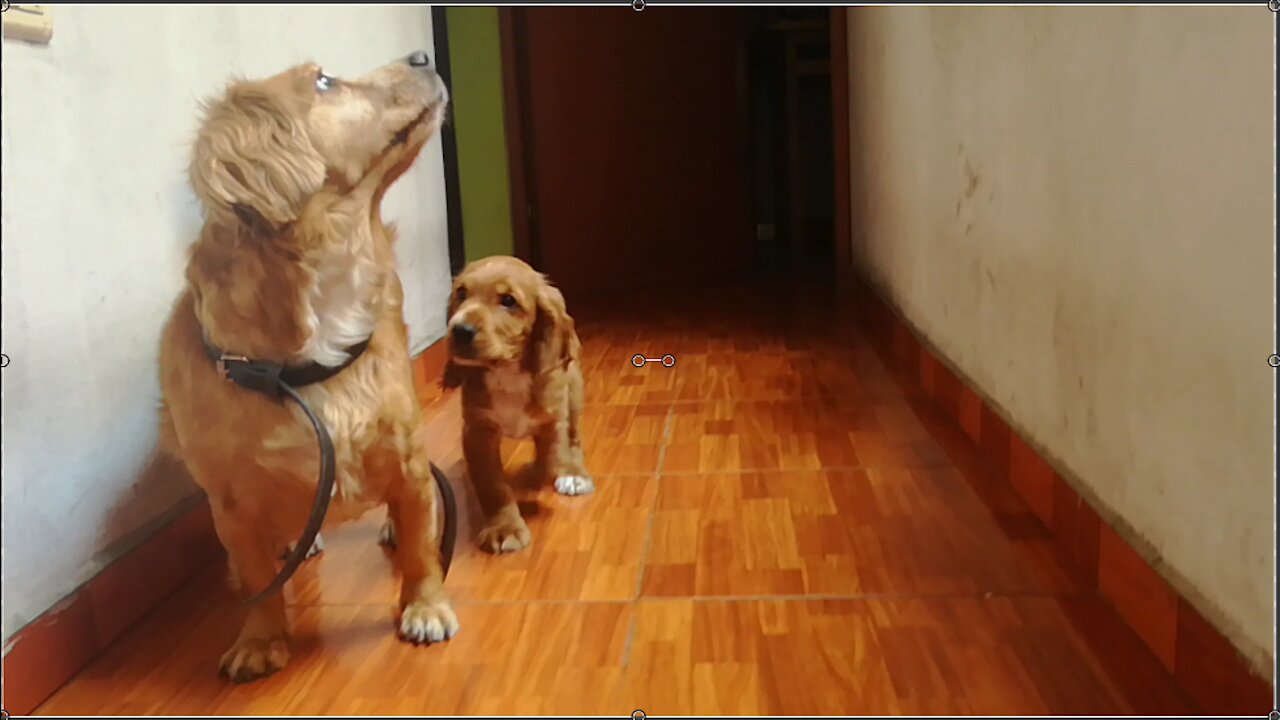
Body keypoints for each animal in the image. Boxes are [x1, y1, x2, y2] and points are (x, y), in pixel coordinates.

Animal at [156, 53, 455, 681]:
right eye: (323, 82)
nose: (422, 55)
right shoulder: (232, 503)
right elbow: (256, 578)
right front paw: (259, 639)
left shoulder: (407, 456)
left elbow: (421, 546)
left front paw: (425, 606)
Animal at [445, 254, 593, 550]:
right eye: (461, 294)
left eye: (508, 300)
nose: (460, 330)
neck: (506, 371)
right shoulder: (478, 431)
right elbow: (492, 484)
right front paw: (504, 527)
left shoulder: (553, 414)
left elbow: (555, 449)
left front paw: (560, 471)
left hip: (573, 390)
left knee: (573, 436)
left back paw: (572, 472)